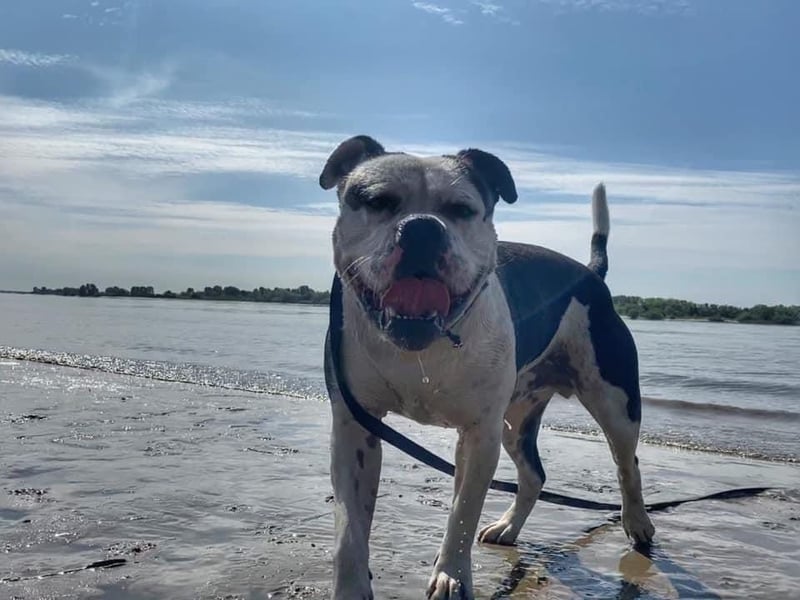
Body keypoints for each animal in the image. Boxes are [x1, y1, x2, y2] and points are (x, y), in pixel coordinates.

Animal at [320, 135, 655, 599]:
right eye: (377, 201)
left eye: (461, 209)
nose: (422, 228)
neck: (425, 346)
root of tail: (591, 275)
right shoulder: (355, 427)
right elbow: (349, 529)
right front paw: (350, 586)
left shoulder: (480, 435)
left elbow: (462, 512)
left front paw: (451, 576)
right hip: (515, 419)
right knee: (534, 475)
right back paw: (509, 527)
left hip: (614, 403)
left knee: (627, 464)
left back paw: (637, 522)